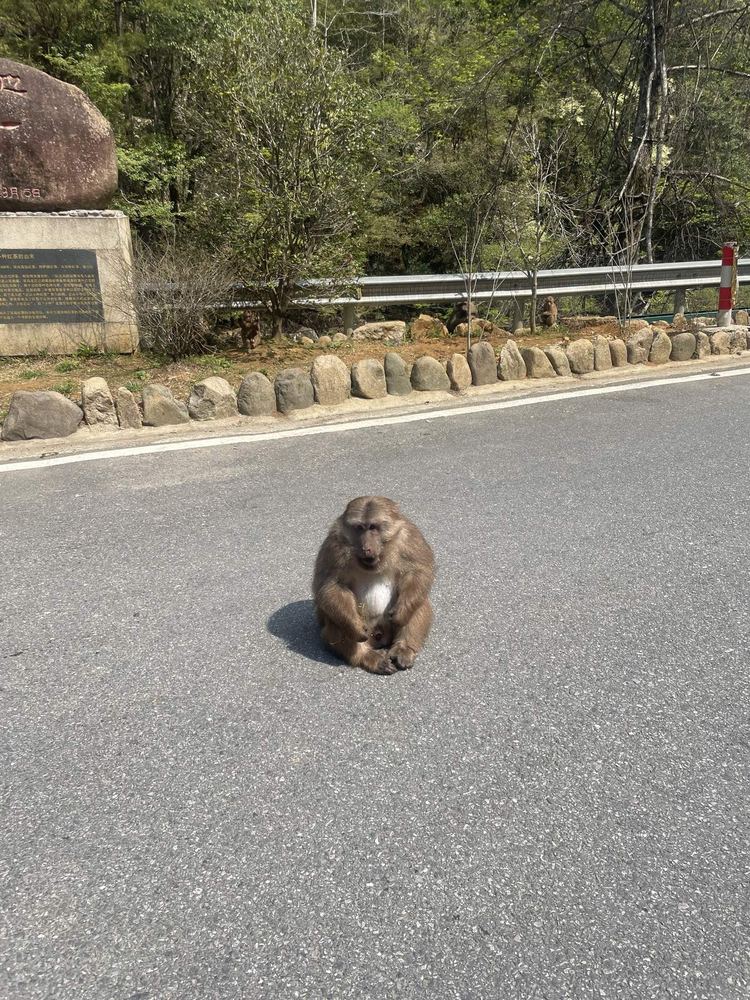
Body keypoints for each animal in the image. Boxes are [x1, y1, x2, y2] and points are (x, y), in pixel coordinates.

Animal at [312, 496, 435, 675]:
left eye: (373, 527)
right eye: (359, 528)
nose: (366, 547)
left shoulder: (410, 536)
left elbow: (419, 571)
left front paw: (401, 613)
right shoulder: (335, 545)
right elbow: (329, 587)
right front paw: (355, 627)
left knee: (419, 602)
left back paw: (403, 649)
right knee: (334, 616)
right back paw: (368, 657)